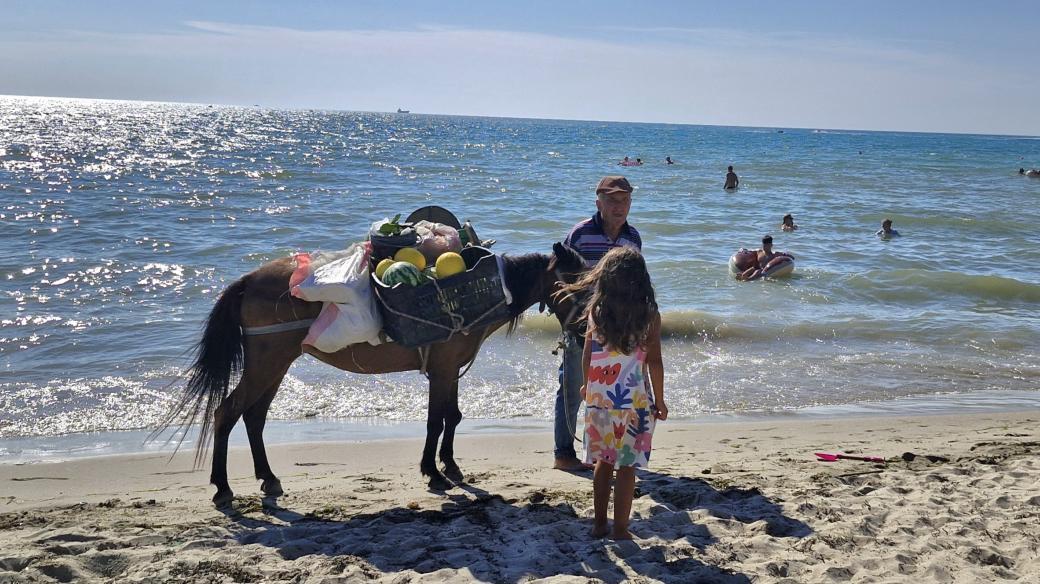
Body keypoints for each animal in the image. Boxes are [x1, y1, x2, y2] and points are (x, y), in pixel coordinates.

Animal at [163, 241, 586, 505]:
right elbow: (436, 420)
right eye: (575, 282)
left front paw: (450, 466)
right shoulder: (442, 369)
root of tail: (247, 281)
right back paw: (222, 488)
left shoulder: (449, 370)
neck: (480, 292)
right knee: (227, 412)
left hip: (276, 365)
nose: (586, 330)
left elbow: (452, 416)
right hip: (267, 363)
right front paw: (433, 472)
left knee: (253, 417)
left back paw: (268, 478)